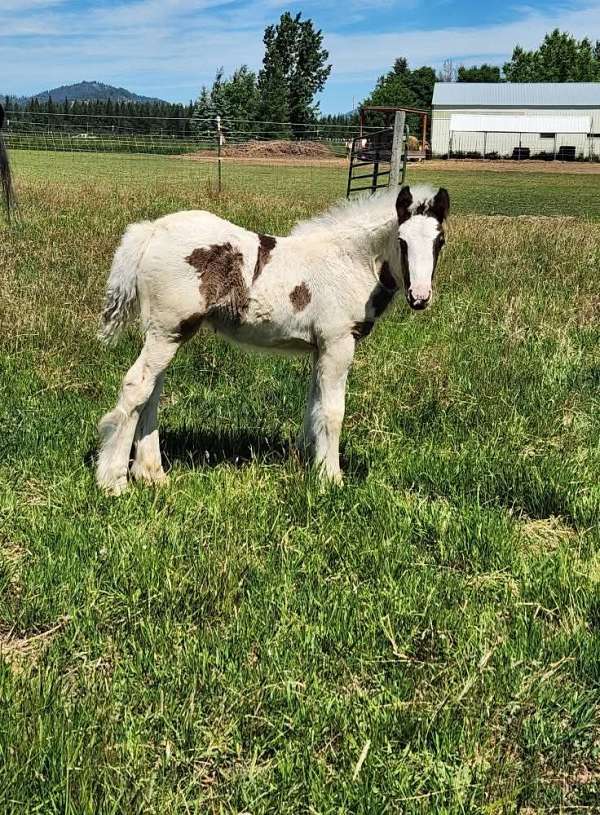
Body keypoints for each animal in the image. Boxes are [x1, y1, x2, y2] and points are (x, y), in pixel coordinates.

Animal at [96, 184, 450, 495]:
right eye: (402, 241)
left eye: (440, 241)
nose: (420, 297)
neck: (349, 262)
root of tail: (152, 230)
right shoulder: (338, 343)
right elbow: (333, 411)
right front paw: (332, 479)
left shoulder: (319, 349)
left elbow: (314, 406)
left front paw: (310, 462)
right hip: (168, 332)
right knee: (137, 387)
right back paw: (114, 481)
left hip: (163, 333)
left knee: (152, 391)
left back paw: (151, 474)